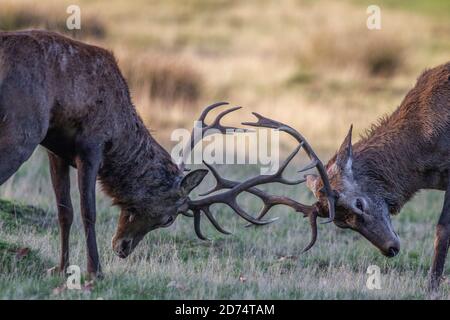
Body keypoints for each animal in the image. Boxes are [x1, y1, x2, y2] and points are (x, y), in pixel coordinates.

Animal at [0, 31, 330, 278]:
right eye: (169, 218)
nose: (122, 248)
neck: (119, 135)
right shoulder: (91, 144)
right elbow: (88, 212)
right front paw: (95, 272)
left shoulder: (56, 149)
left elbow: (64, 211)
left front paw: (60, 268)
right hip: (23, 128)